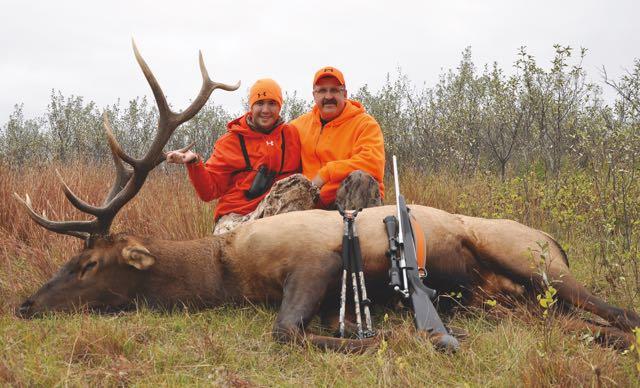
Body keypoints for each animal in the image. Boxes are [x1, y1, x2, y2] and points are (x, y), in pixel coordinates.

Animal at [15, 42, 640, 352]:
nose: (24, 304)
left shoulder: (315, 260)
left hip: (530, 260)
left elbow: (287, 331)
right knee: (568, 319)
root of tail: (553, 237)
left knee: (617, 308)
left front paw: (380, 339)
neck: (227, 269)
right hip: (504, 296)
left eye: (88, 264)